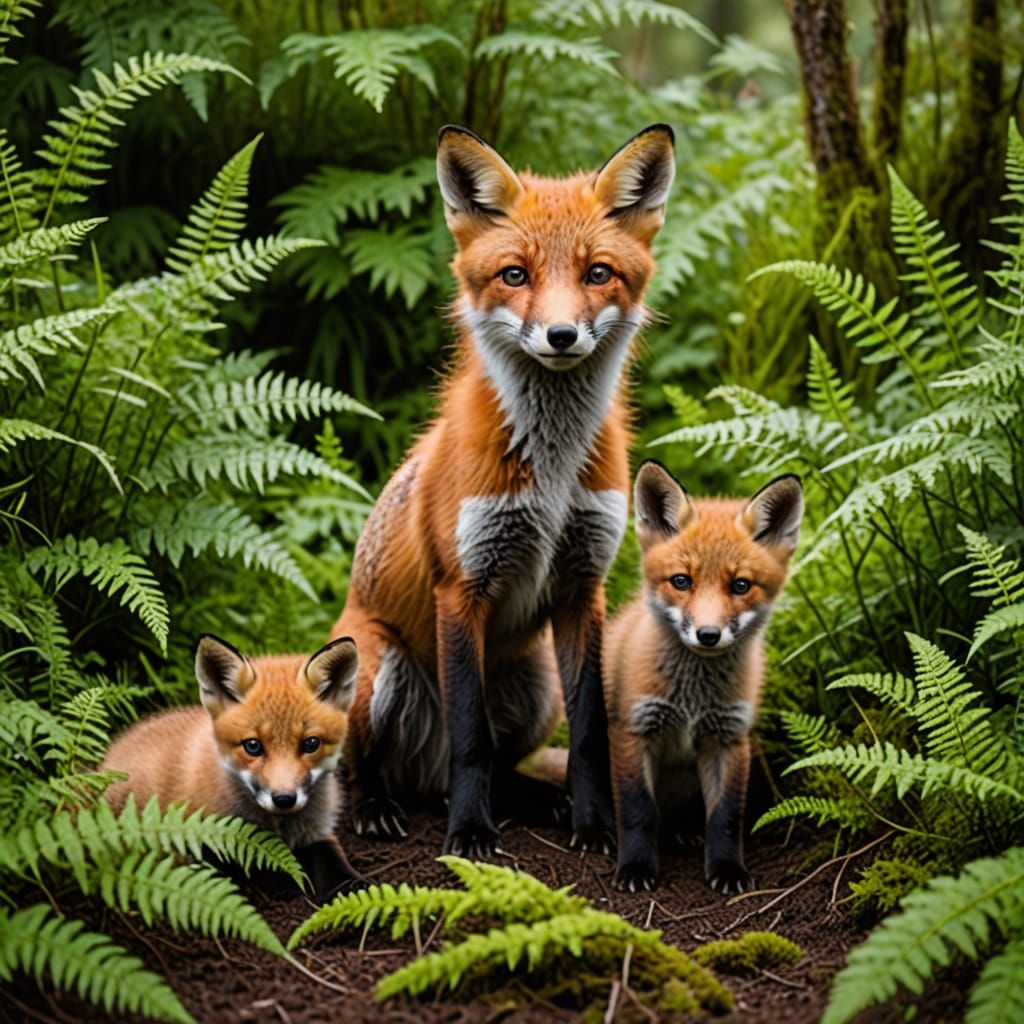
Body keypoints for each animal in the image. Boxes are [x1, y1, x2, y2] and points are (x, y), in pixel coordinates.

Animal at [101, 634, 361, 899]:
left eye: (311, 744)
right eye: (253, 746)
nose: (284, 799)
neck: (280, 828)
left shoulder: (318, 836)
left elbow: (341, 872)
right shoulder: (199, 841)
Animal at [330, 123, 677, 857]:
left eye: (597, 273)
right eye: (515, 274)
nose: (561, 335)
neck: (549, 473)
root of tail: (419, 778)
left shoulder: (582, 583)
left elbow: (588, 733)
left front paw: (594, 824)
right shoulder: (462, 585)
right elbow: (471, 739)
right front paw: (470, 832)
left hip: (534, 680)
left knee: (506, 762)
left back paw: (538, 801)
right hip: (377, 667)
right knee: (363, 765)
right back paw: (380, 807)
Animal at [604, 461, 803, 894]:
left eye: (740, 585)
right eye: (682, 581)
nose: (708, 635)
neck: (692, 698)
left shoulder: (730, 738)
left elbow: (726, 817)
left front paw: (728, 869)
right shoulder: (633, 729)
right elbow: (638, 809)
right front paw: (636, 868)